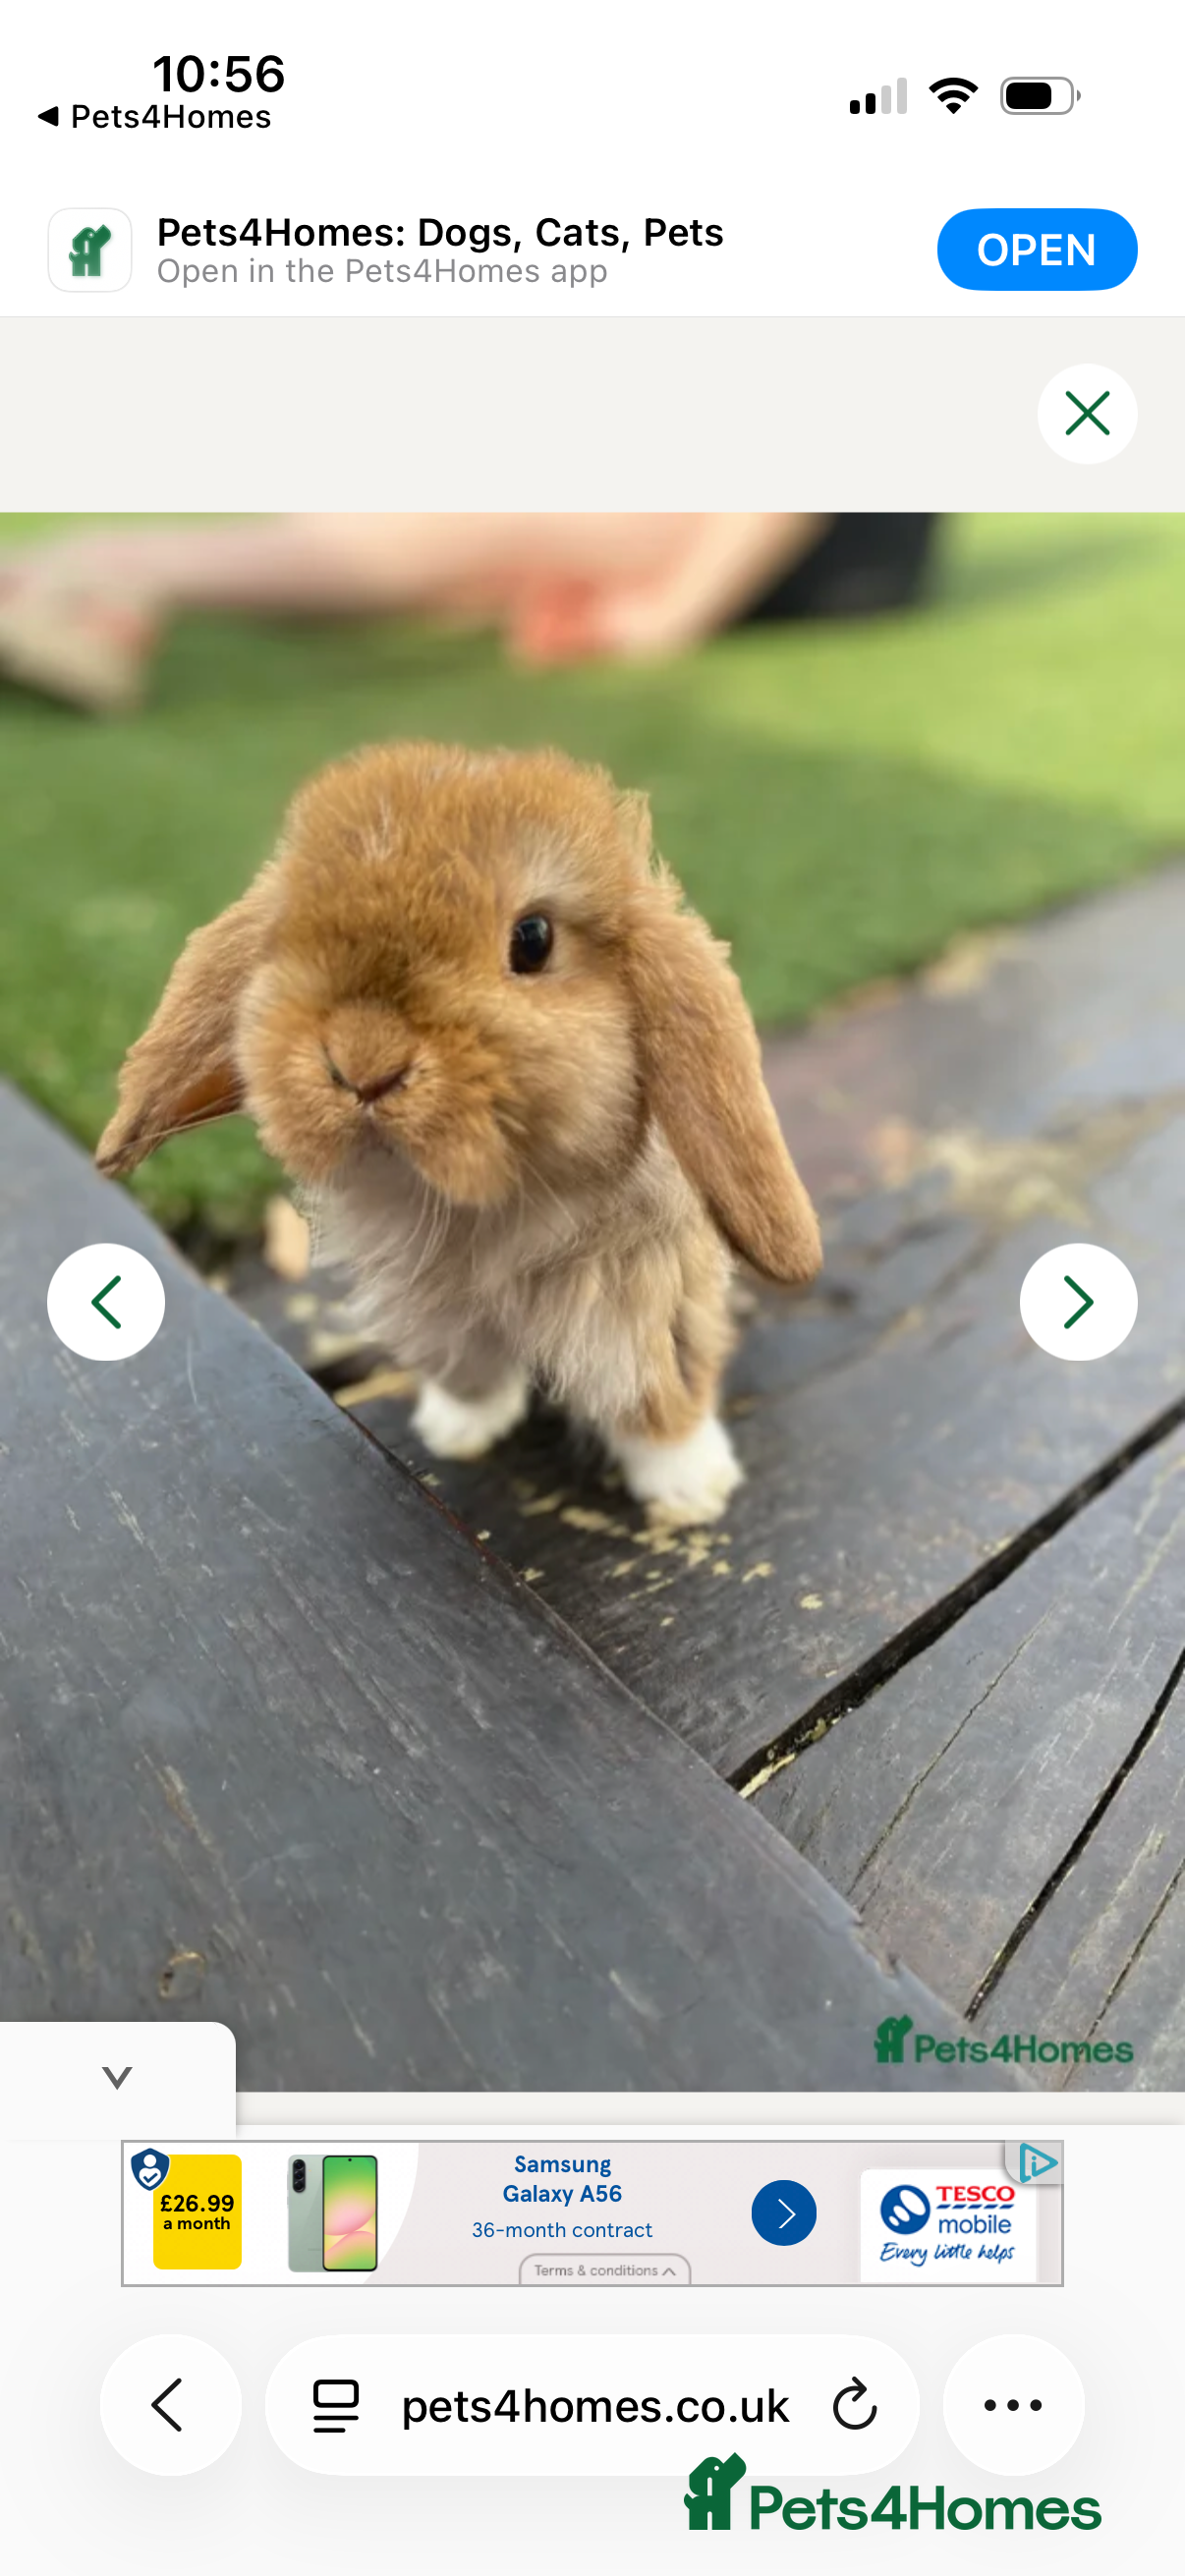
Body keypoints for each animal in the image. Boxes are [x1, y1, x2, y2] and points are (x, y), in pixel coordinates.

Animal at [97, 742, 822, 1524]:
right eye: (290, 933)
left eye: (532, 940)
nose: (364, 1063)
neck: (489, 1202)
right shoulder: (441, 1313)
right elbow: (468, 1371)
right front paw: (459, 1431)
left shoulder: (643, 1299)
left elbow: (657, 1393)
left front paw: (693, 1491)